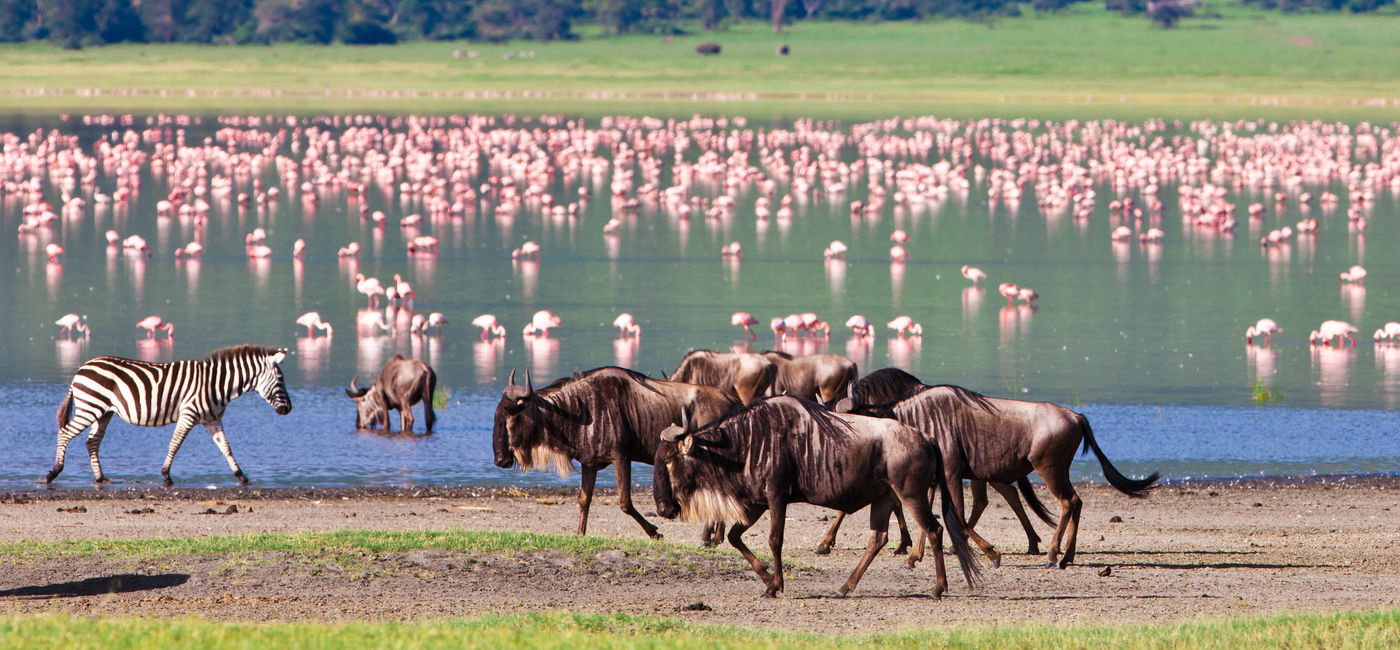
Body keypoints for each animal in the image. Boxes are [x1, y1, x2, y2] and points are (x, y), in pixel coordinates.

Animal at [45, 344, 292, 487]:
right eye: (280, 380)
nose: (288, 409)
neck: (216, 385)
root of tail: (82, 368)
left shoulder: (212, 420)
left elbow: (226, 448)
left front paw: (241, 476)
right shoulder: (188, 414)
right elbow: (175, 443)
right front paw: (166, 475)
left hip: (103, 412)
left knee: (92, 442)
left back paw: (100, 478)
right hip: (90, 407)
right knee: (65, 433)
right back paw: (53, 473)